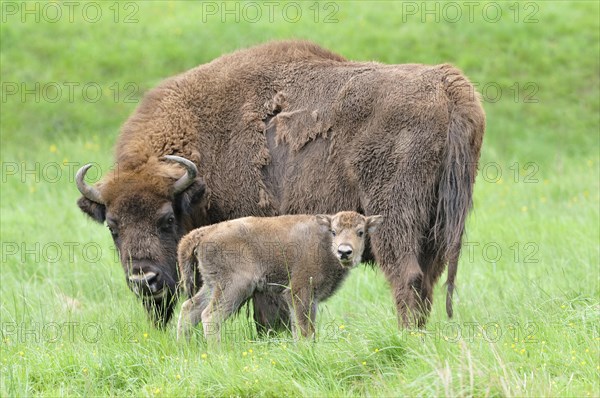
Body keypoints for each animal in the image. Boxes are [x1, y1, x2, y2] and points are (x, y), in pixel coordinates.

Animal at [176, 210, 382, 340]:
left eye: (360, 232)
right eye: (334, 231)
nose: (344, 251)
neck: (324, 243)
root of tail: (205, 232)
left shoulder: (309, 299)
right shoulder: (299, 292)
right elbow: (305, 329)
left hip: (211, 285)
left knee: (189, 309)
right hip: (234, 287)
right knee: (210, 316)